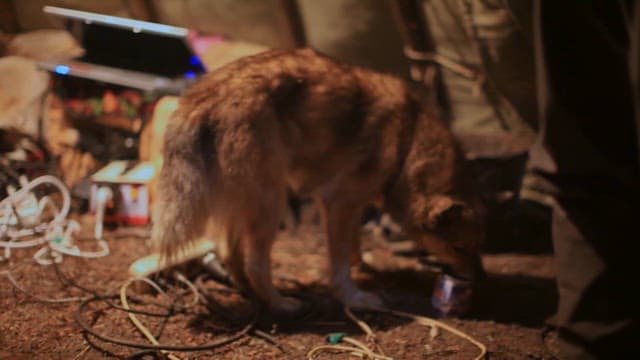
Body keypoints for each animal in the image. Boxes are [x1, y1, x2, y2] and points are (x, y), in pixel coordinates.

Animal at [154, 48, 484, 316]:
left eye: (477, 246)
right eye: (460, 248)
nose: (479, 281)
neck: (408, 140)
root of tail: (203, 94)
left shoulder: (350, 207)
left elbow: (353, 247)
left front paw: (365, 267)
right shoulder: (338, 203)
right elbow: (339, 267)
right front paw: (354, 298)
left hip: (243, 203)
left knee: (229, 254)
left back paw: (250, 294)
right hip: (272, 204)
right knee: (255, 264)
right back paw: (280, 304)